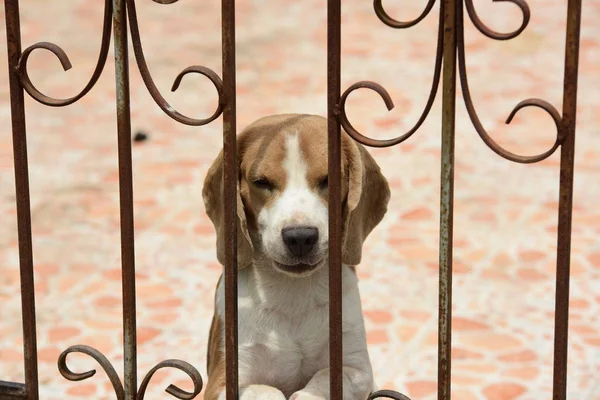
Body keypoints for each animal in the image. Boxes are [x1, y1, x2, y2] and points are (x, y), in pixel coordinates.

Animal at [202, 113, 390, 400]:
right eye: (261, 182)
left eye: (329, 180)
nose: (300, 237)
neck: (293, 296)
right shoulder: (223, 380)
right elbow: (265, 390)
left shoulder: (357, 368)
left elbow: (325, 378)